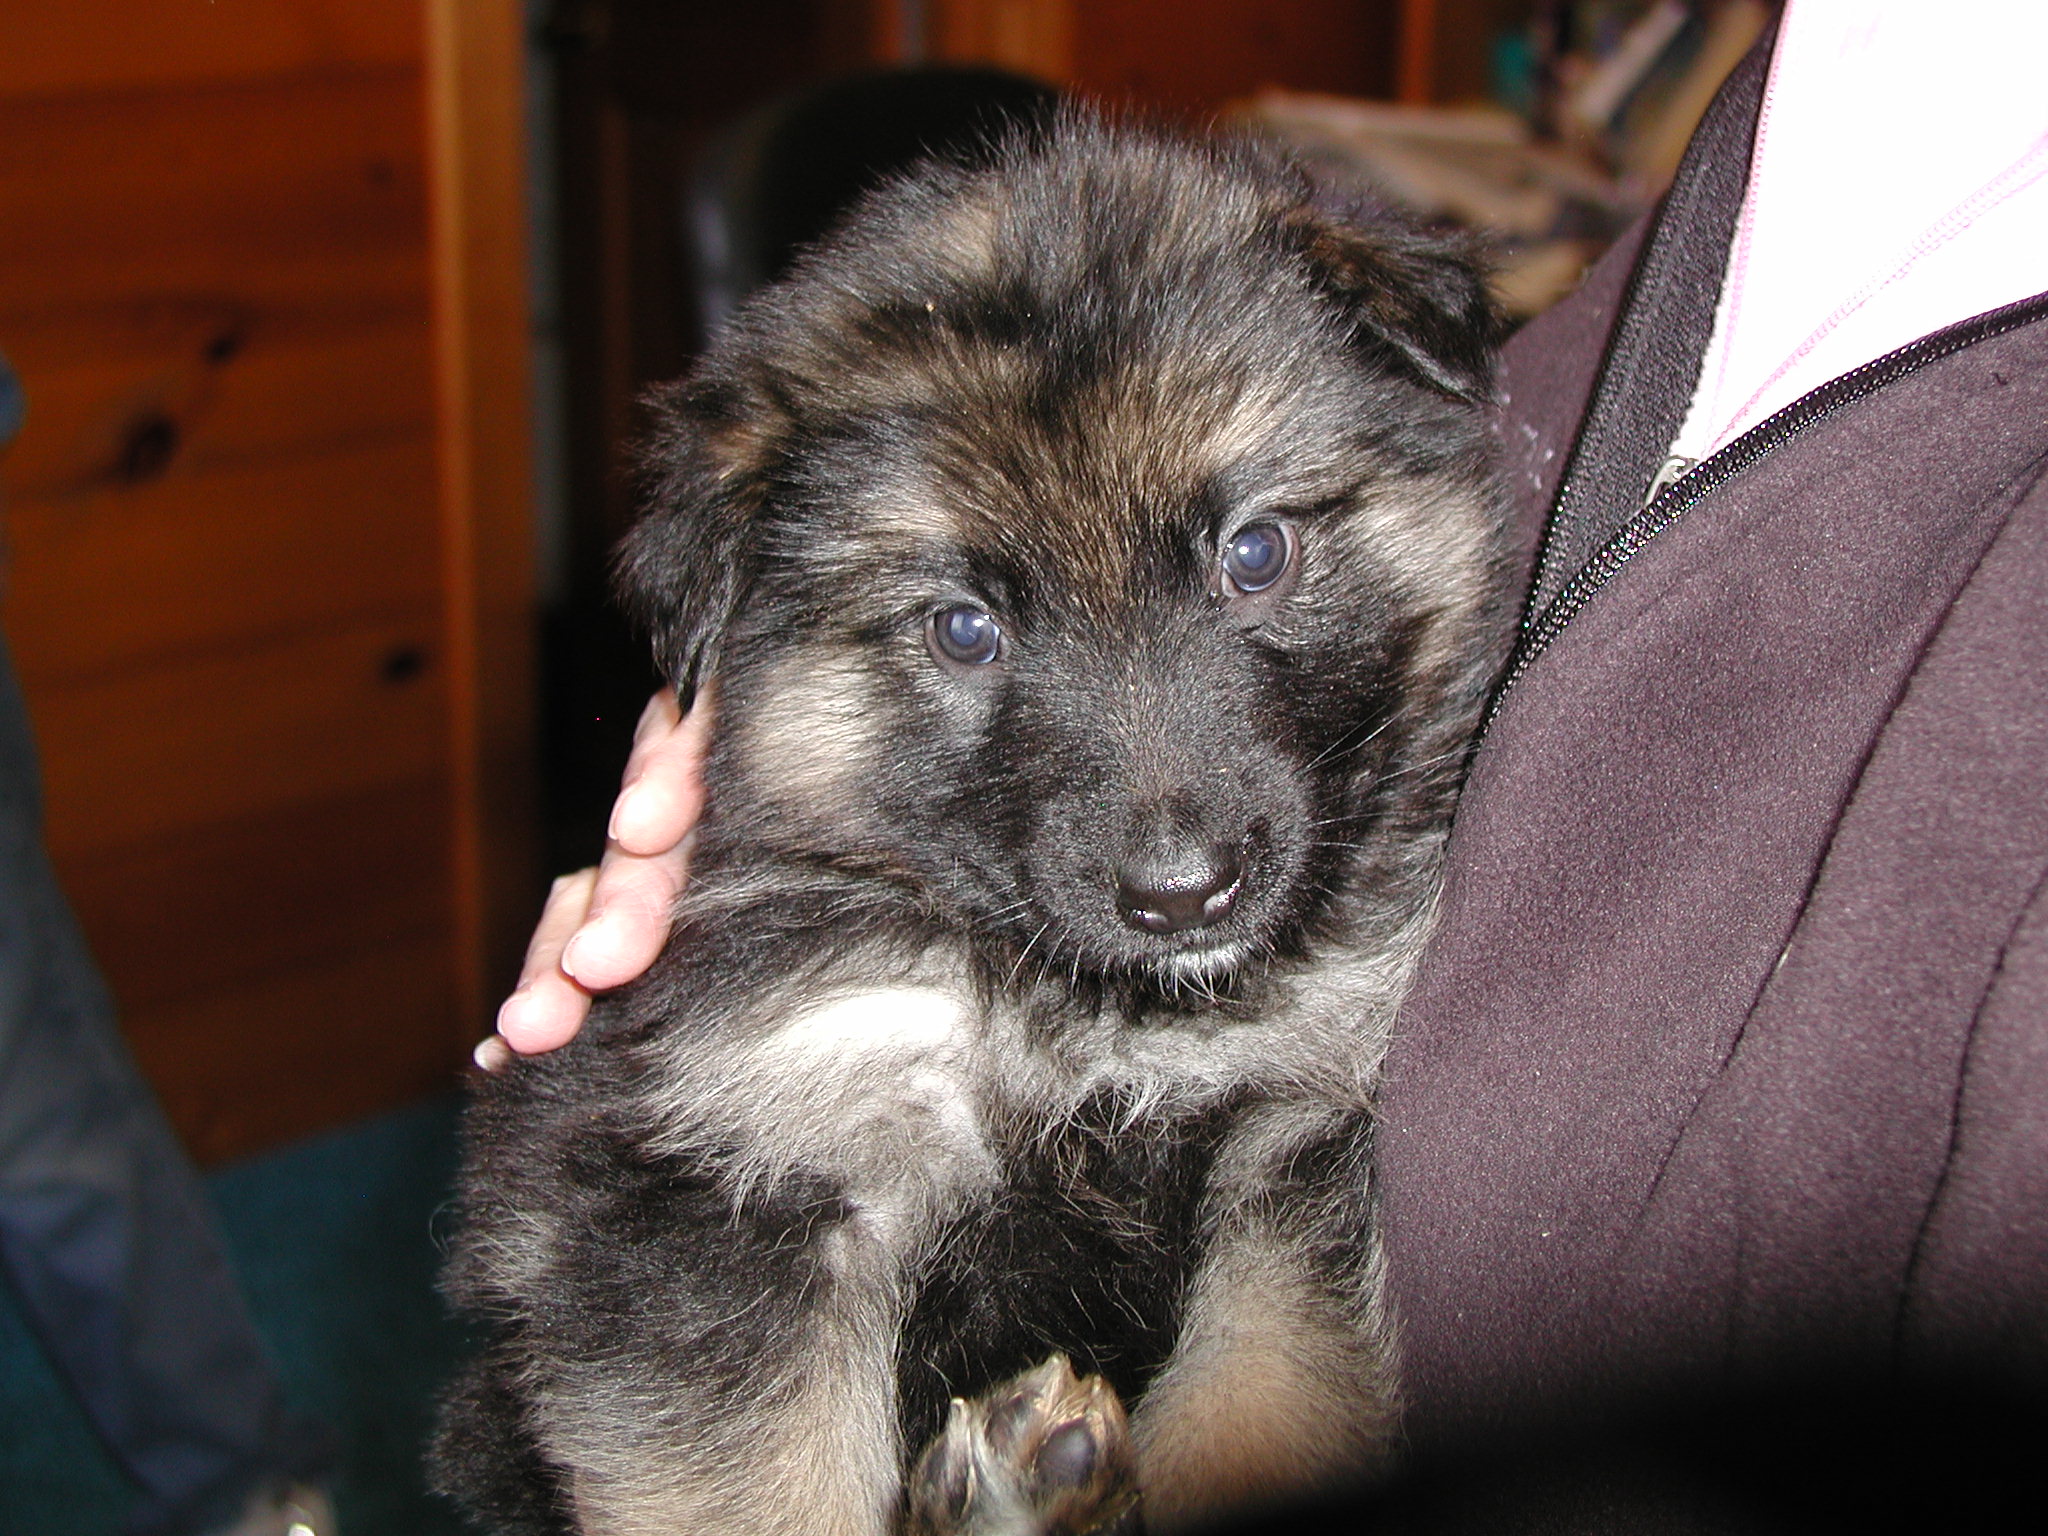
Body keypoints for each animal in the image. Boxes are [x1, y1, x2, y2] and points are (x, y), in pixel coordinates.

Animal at [434, 114, 1512, 1536]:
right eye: (962, 628)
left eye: (1255, 551)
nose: (1184, 893)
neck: (1082, 1017)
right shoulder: (727, 1177)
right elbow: (755, 1485)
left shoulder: (1292, 1133)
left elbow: (1265, 1396)